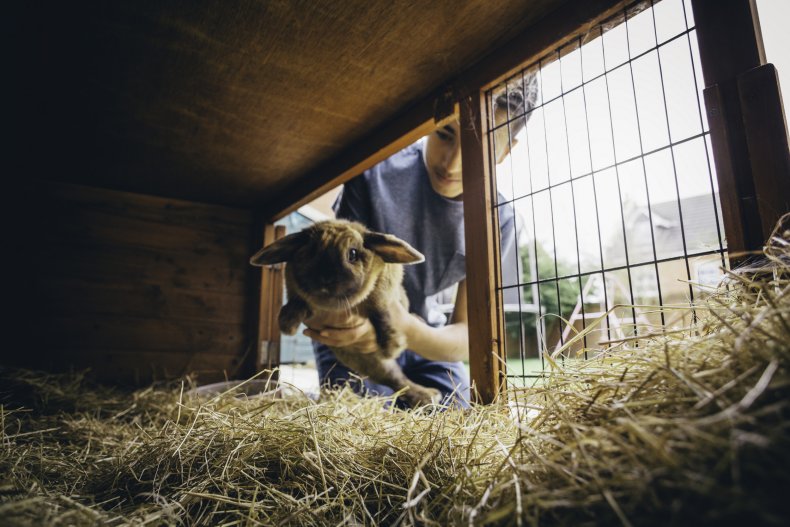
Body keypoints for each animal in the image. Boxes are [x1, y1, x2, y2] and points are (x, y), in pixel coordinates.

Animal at [251, 219, 442, 408]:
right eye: (310, 252)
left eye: (353, 254)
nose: (325, 279)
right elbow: (297, 301)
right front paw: (287, 323)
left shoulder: (384, 291)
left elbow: (381, 311)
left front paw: (391, 345)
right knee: (397, 380)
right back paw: (428, 396)